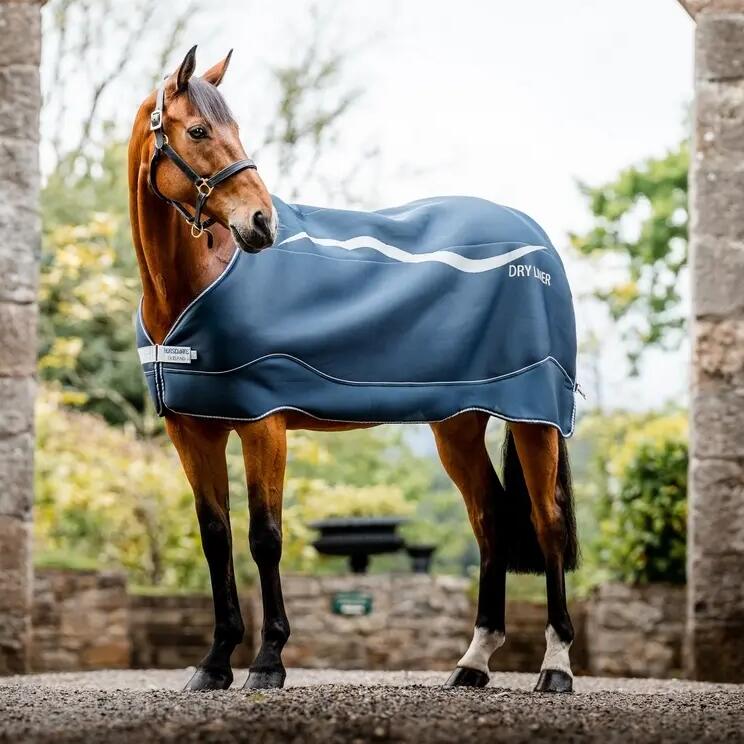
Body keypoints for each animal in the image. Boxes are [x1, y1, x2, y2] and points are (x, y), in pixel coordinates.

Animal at [127, 46, 579, 694]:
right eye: (197, 131)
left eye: (235, 128)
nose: (262, 223)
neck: (192, 285)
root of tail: (535, 239)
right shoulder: (192, 432)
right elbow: (216, 539)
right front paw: (213, 664)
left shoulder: (264, 425)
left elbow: (265, 537)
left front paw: (268, 662)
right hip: (458, 425)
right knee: (490, 519)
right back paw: (472, 663)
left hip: (533, 419)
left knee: (547, 525)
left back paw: (556, 667)